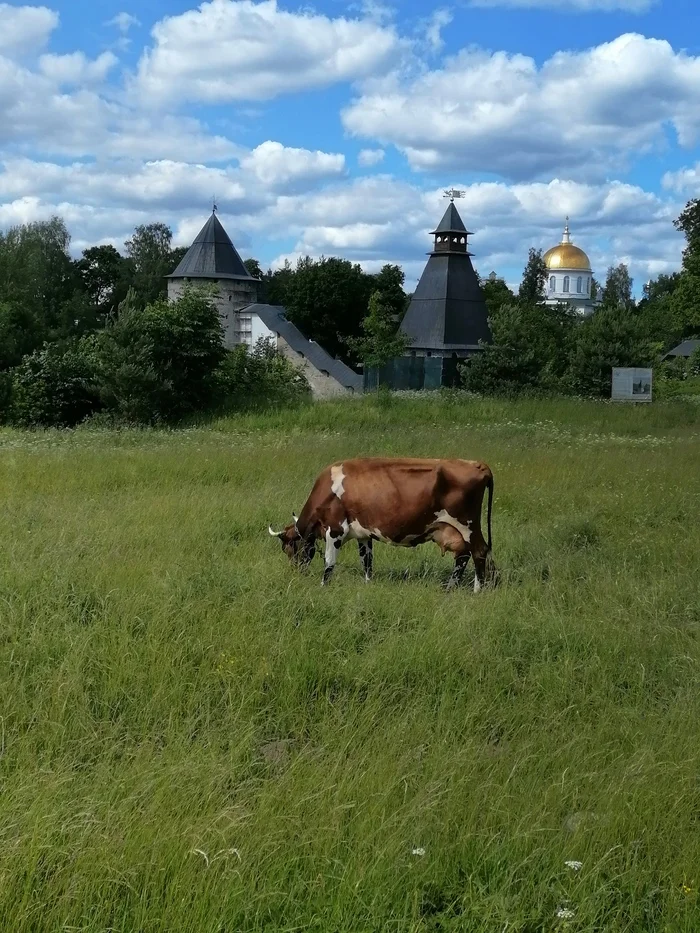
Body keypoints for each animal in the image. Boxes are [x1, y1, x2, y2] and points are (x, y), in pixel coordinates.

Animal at [266, 456, 492, 588]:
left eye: (288, 549)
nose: (296, 572)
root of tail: (477, 464)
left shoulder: (335, 529)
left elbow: (329, 563)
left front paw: (323, 586)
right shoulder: (363, 534)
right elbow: (367, 561)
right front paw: (368, 585)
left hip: (468, 526)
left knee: (479, 552)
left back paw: (477, 590)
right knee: (463, 556)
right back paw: (450, 588)